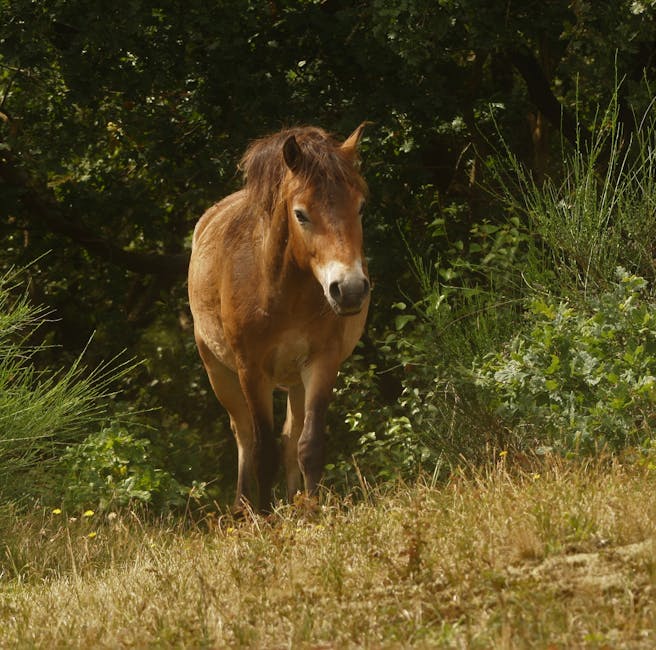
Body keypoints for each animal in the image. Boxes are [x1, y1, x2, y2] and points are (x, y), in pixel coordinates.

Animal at [187, 124, 368, 508]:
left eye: (360, 207)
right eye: (300, 214)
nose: (349, 289)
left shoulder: (322, 361)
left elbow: (308, 445)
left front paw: (314, 512)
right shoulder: (252, 370)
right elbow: (262, 451)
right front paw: (266, 515)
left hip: (295, 380)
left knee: (290, 437)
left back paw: (294, 501)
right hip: (218, 371)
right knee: (243, 434)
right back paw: (243, 508)